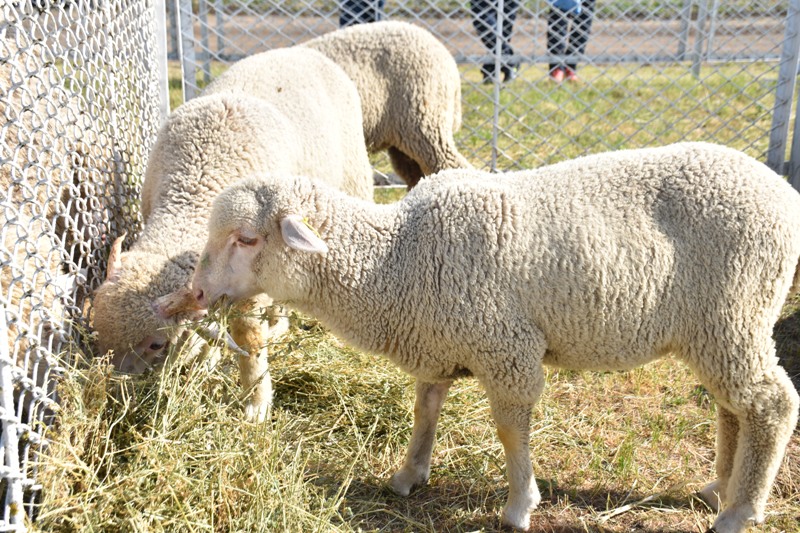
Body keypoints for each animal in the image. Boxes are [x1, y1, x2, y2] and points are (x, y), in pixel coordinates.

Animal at [91, 45, 376, 422]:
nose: (118, 396)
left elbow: (247, 339)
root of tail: (299, 50)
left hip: (353, 177)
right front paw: (208, 359)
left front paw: (255, 402)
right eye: (98, 332)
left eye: (156, 344)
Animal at [192, 142, 800, 532]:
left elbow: (510, 432)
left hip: (736, 312)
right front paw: (409, 475)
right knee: (733, 406)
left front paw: (518, 505)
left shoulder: (507, 348)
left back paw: (740, 511)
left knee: (770, 403)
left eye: (247, 239)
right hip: (716, 330)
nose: (197, 293)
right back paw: (720, 488)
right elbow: (426, 410)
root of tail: (780, 191)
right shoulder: (438, 343)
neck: (396, 257)